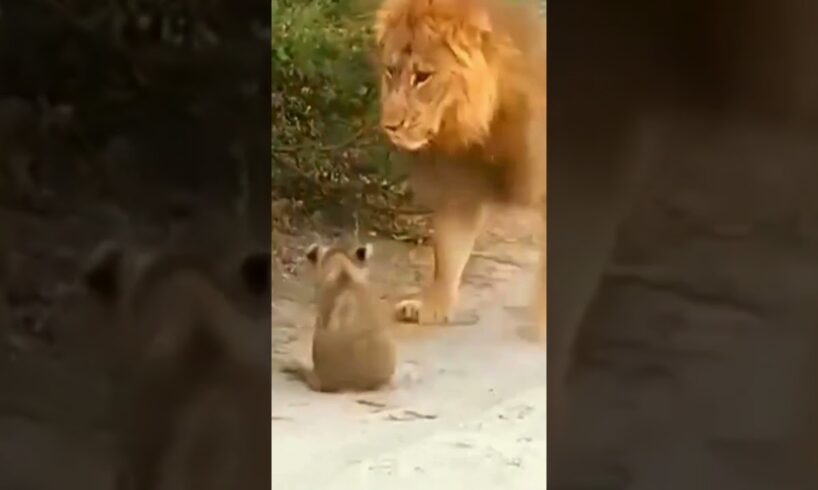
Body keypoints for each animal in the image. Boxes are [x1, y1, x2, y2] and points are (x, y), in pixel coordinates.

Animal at [372, 0, 544, 334]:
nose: (390, 126)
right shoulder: (460, 181)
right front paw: (431, 308)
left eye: (422, 76)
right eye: (391, 70)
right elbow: (448, 251)